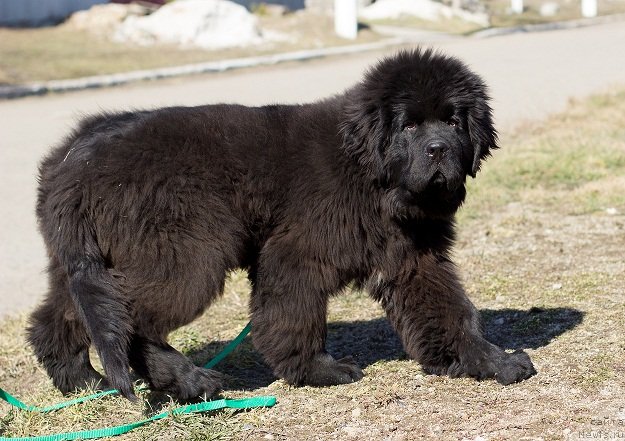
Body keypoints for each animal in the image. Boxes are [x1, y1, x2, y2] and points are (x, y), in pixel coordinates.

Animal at [29, 48, 532, 398]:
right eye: (409, 126)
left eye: (454, 121)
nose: (438, 150)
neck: (368, 172)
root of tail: (75, 159)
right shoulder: (296, 252)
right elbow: (294, 314)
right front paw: (317, 371)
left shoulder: (415, 257)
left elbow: (451, 311)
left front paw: (490, 361)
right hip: (187, 254)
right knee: (132, 321)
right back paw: (189, 380)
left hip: (90, 261)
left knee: (60, 318)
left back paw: (84, 383)